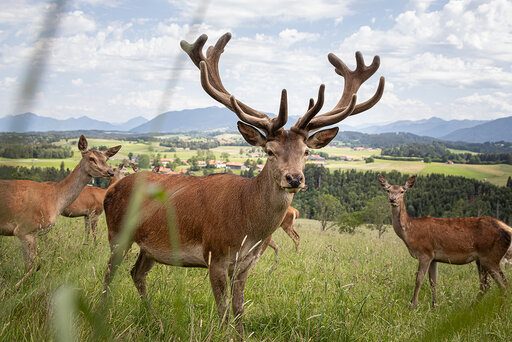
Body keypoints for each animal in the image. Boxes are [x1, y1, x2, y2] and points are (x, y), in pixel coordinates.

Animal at [0, 135, 120, 288]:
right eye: (91, 158)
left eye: (106, 159)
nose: (110, 172)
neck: (55, 199)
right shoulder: (24, 229)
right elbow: (35, 265)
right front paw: (14, 288)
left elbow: (29, 265)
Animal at [103, 32, 384, 334]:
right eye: (269, 151)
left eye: (307, 152)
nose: (294, 178)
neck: (247, 225)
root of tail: (111, 190)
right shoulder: (214, 254)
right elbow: (224, 311)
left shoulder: (247, 263)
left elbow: (238, 311)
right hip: (117, 234)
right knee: (109, 274)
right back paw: (102, 313)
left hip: (149, 248)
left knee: (136, 273)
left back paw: (156, 321)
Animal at [378, 175, 510, 308]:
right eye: (388, 190)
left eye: (402, 191)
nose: (392, 199)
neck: (410, 232)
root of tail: (507, 228)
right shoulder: (433, 257)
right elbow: (433, 282)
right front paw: (435, 306)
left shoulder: (425, 252)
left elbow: (419, 280)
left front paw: (412, 306)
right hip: (483, 259)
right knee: (488, 284)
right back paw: (472, 307)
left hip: (490, 256)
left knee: (502, 285)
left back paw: (499, 311)